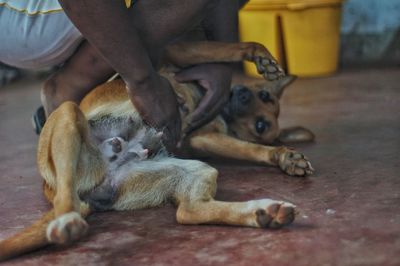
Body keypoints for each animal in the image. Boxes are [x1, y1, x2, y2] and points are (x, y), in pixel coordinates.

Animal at [0, 41, 312, 260]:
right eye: (264, 94)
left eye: (261, 125)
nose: (243, 94)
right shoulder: (176, 56)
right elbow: (226, 47)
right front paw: (261, 56)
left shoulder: (204, 138)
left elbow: (252, 149)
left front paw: (284, 156)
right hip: (67, 115)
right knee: (66, 197)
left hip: (194, 170)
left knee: (188, 212)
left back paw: (265, 213)